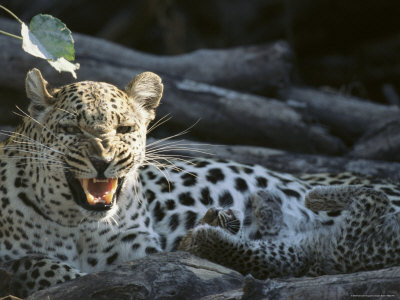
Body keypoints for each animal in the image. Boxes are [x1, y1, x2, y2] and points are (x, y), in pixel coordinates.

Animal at [0, 68, 398, 298]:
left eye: (124, 128)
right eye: (71, 129)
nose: (103, 161)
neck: (77, 224)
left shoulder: (138, 252)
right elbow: (42, 267)